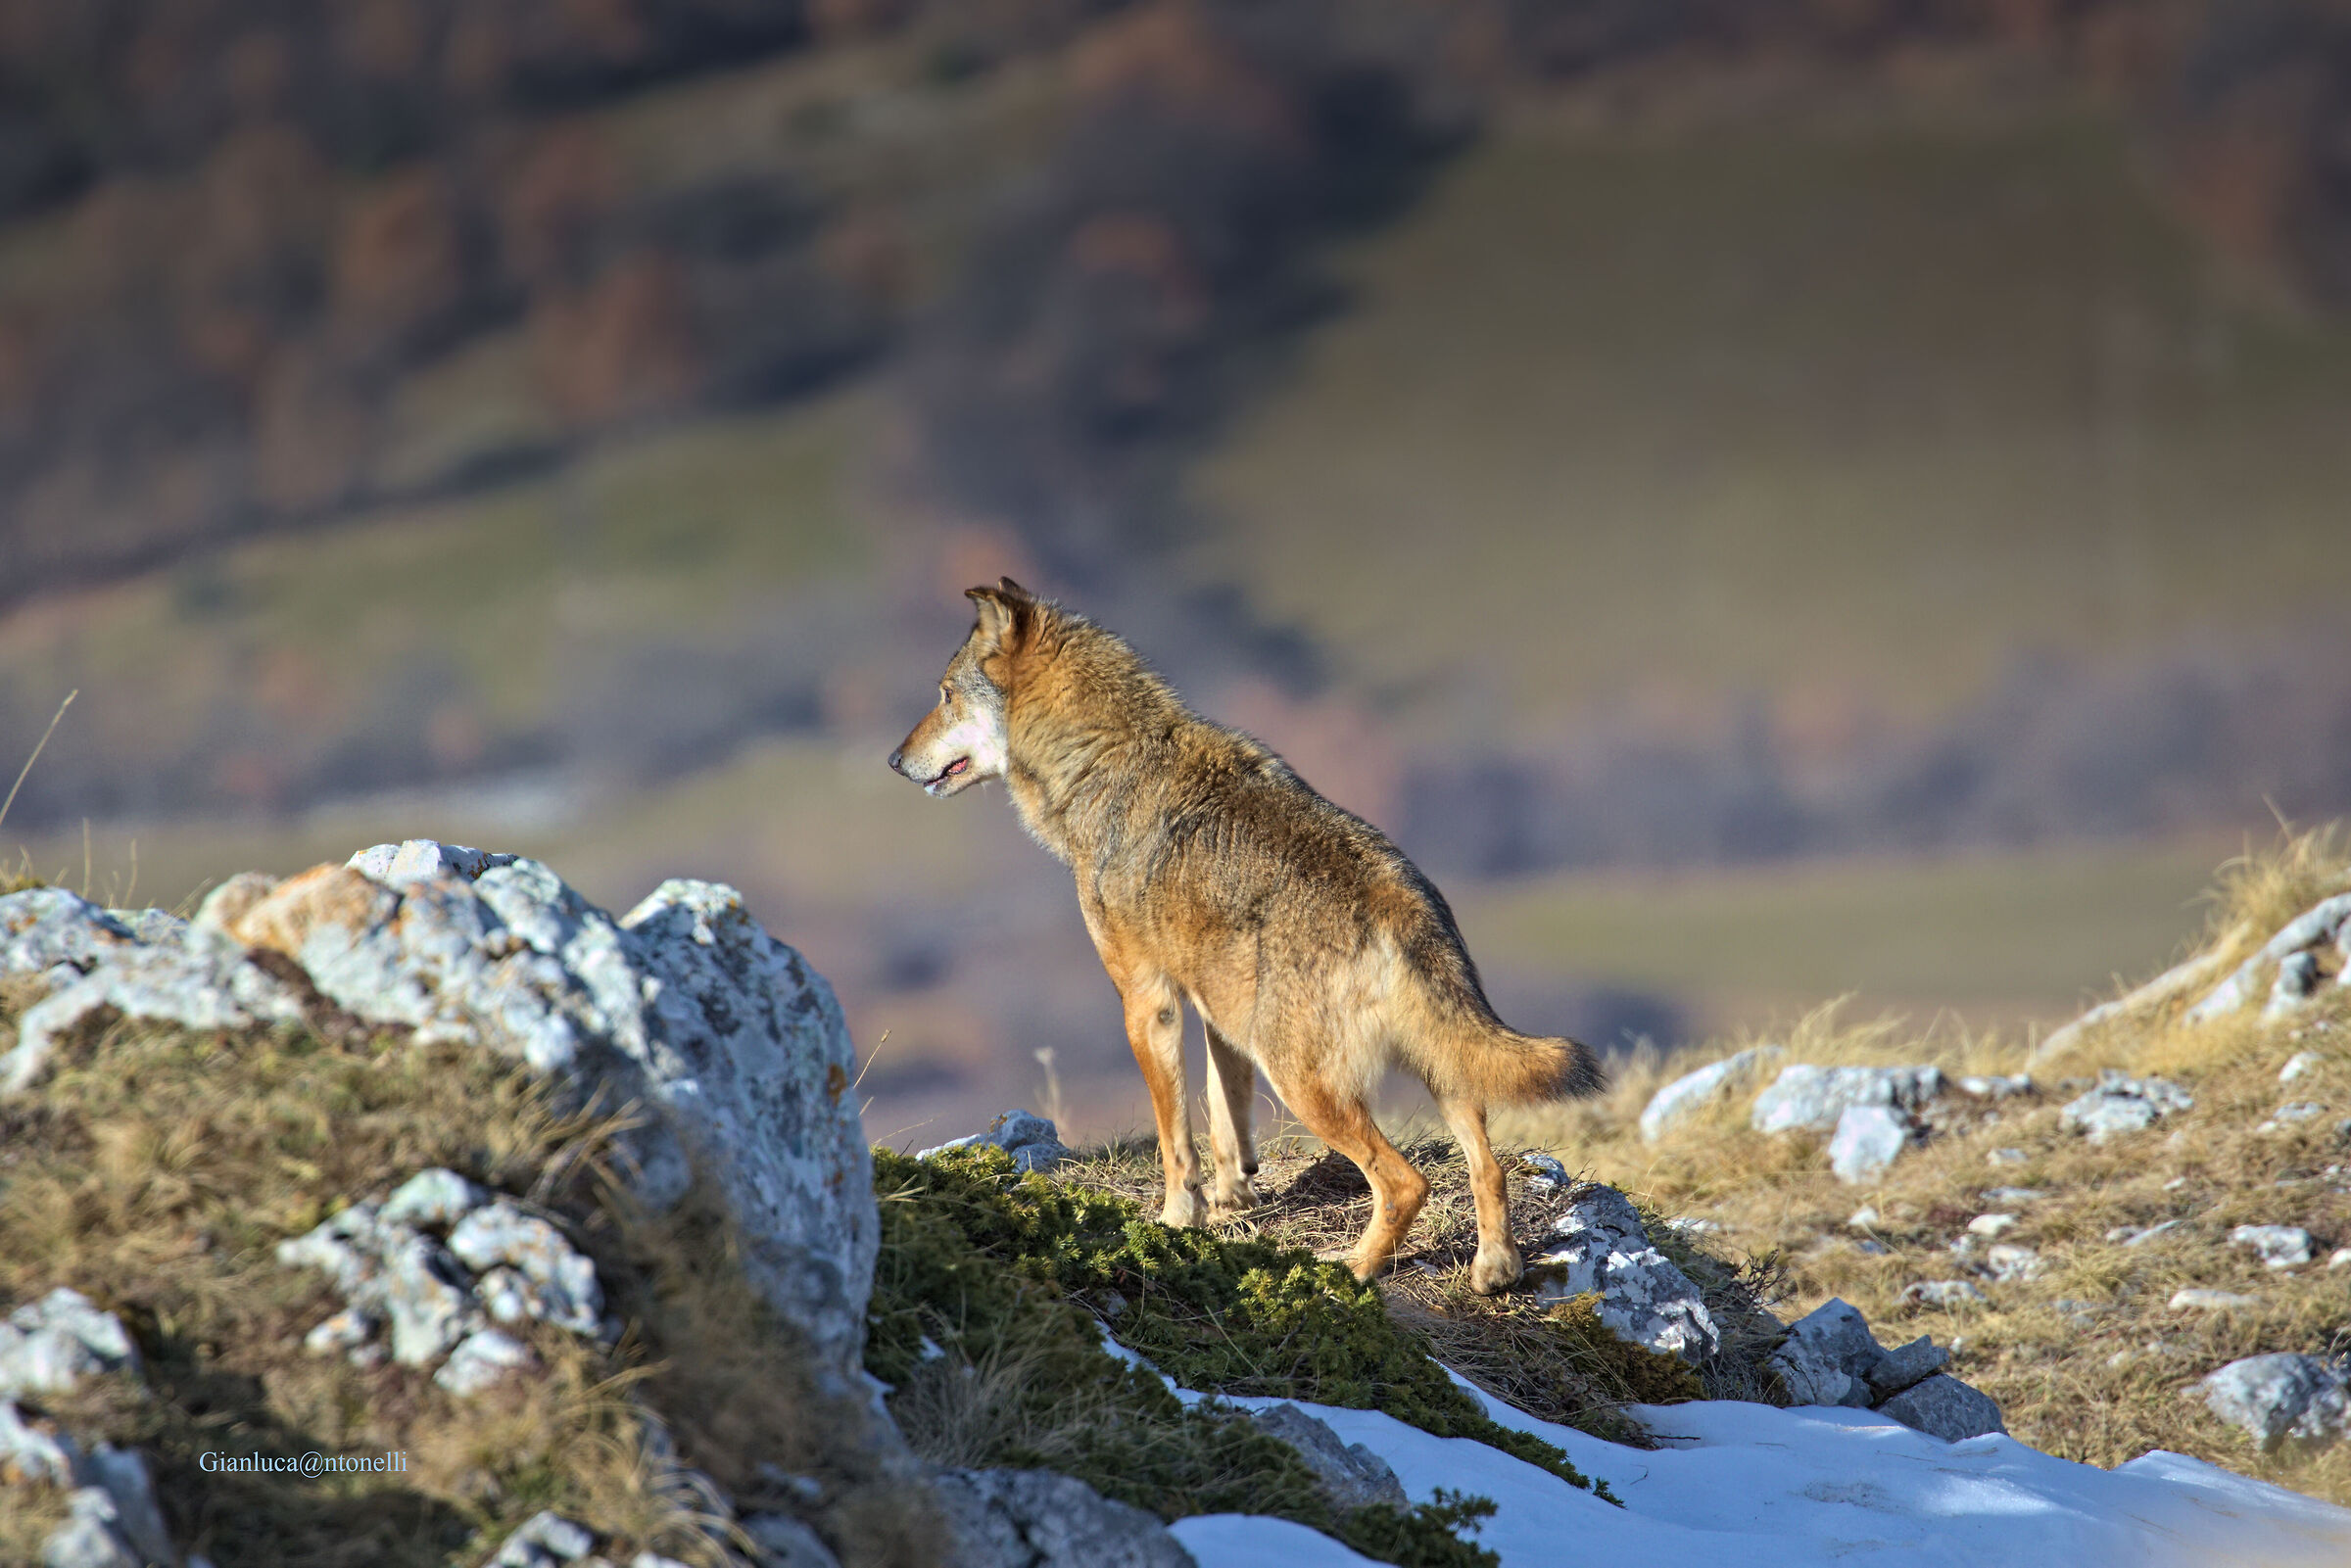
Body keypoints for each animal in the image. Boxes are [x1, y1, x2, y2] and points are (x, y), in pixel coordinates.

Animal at [888, 579, 1603, 1292]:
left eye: (945, 694)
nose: (894, 760)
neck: (1102, 760)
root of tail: (1401, 902)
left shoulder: (1148, 1001)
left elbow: (1176, 1137)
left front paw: (1179, 1219)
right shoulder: (1218, 1009)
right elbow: (1224, 1115)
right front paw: (1233, 1197)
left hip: (1306, 1084)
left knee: (1406, 1181)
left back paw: (1353, 1269)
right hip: (1437, 1068)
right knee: (1489, 1164)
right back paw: (1494, 1269)